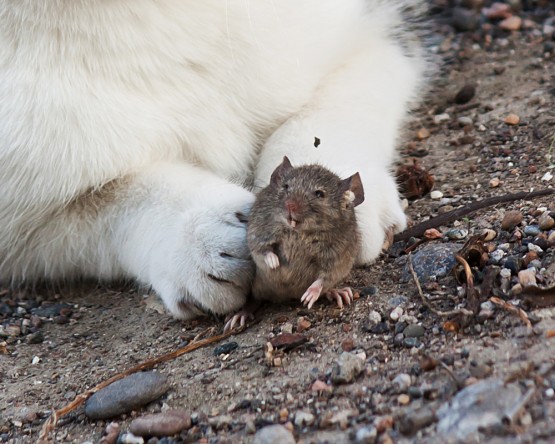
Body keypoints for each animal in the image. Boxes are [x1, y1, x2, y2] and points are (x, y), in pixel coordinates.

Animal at [0, 0, 426, 320]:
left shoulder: (376, 27)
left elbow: (324, 113)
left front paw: (347, 208)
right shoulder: (24, 221)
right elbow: (107, 201)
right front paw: (198, 240)